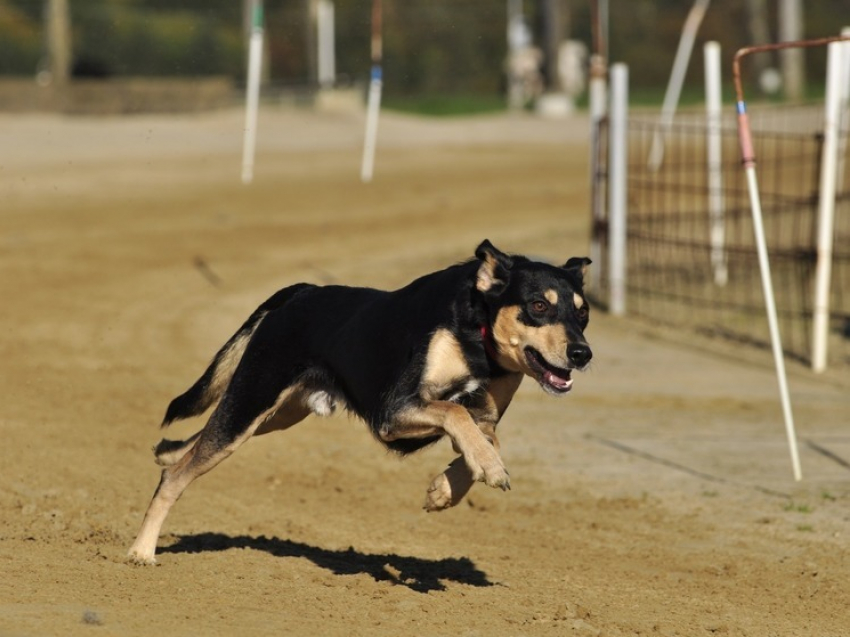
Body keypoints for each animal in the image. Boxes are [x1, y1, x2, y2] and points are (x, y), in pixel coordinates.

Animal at [127, 241, 588, 564]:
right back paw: (141, 551)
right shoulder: (393, 412)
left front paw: (445, 489)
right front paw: (488, 470)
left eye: (583, 313)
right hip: (252, 400)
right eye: (538, 305)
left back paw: (166, 453)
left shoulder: (485, 415)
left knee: (192, 447)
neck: (478, 336)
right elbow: (457, 414)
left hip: (274, 413)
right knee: (177, 477)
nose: (583, 354)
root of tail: (302, 291)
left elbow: (482, 436)